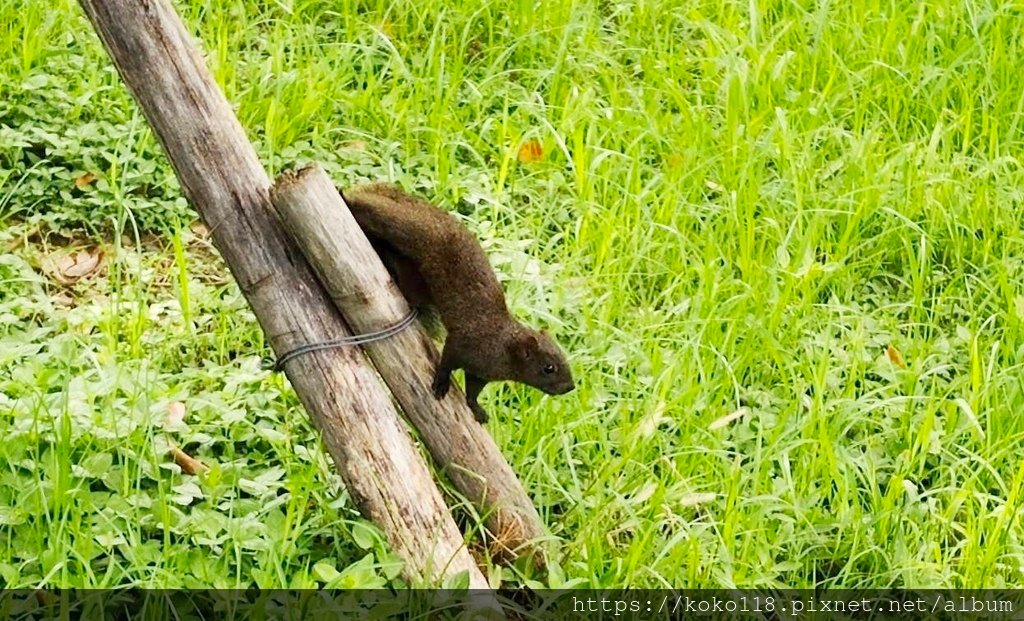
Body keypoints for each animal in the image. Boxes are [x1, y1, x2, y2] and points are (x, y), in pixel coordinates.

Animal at [337, 181, 573, 424]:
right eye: (548, 368)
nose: (570, 387)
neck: (502, 347)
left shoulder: (479, 373)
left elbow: (473, 391)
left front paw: (477, 409)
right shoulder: (463, 342)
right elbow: (447, 362)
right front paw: (441, 383)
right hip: (403, 226)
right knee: (369, 209)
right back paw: (343, 196)